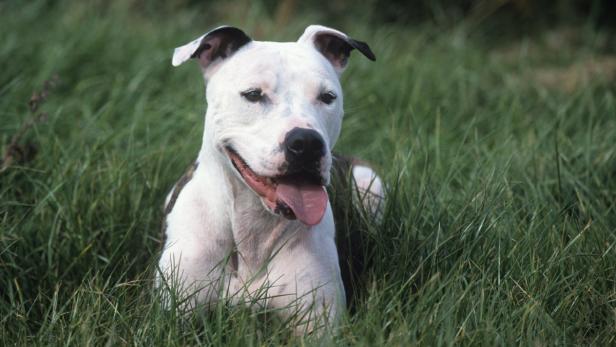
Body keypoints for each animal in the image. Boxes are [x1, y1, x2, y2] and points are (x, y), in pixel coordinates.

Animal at [156, 24, 382, 334]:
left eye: (327, 97)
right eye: (253, 94)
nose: (307, 142)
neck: (254, 232)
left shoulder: (319, 326)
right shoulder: (175, 318)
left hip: (368, 180)